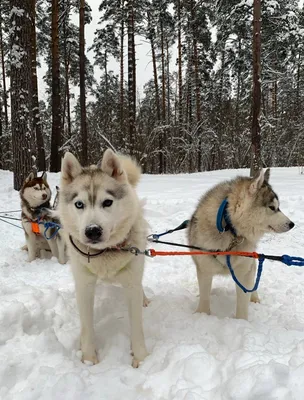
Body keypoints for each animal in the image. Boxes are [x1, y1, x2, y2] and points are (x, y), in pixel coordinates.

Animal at [58, 149, 148, 366]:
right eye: (79, 204)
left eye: (107, 202)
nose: (92, 230)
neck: (105, 252)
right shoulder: (84, 286)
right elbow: (87, 327)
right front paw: (89, 359)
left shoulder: (131, 284)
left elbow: (136, 326)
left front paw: (141, 359)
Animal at [188, 170, 294, 320]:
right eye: (272, 207)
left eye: (278, 207)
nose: (292, 224)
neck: (231, 229)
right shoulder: (204, 268)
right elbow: (204, 297)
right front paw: (201, 314)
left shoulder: (244, 271)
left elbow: (243, 300)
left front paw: (241, 321)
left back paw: (254, 298)